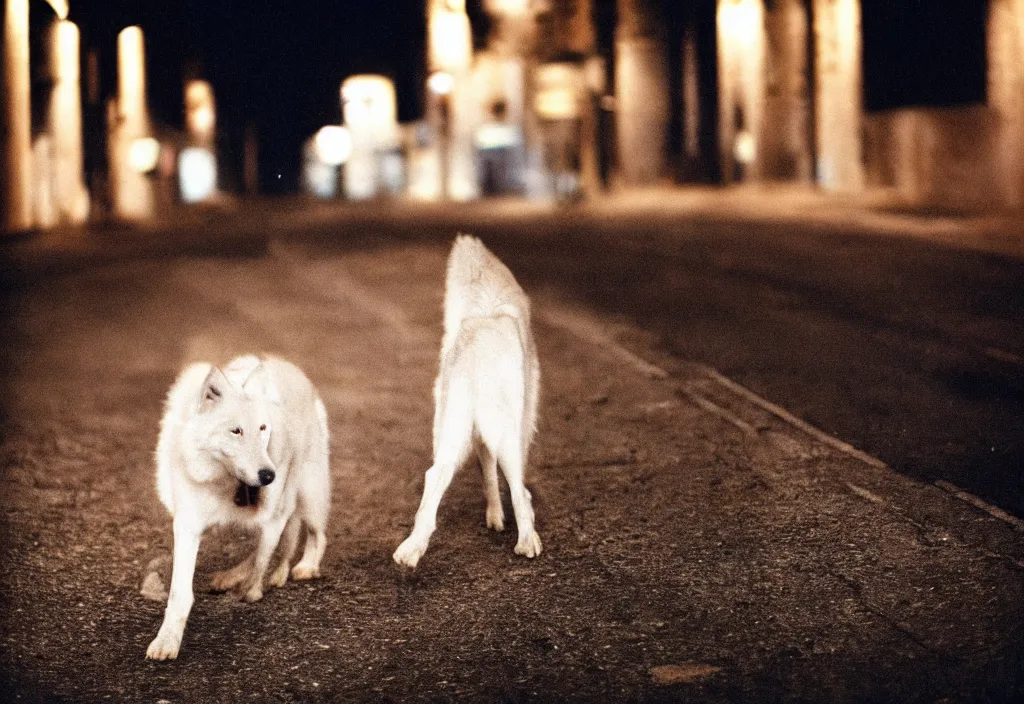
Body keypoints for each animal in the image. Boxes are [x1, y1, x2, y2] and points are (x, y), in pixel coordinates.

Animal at [146, 358, 329, 658]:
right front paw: (167, 642)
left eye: (263, 428)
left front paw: (251, 592)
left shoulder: (274, 515)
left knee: (316, 533)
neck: (224, 480)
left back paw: (304, 567)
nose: (269, 476)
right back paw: (233, 576)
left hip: (309, 491)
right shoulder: (187, 526)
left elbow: (263, 557)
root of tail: (288, 367)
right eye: (236, 431)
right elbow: (180, 592)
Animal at [391, 233, 540, 568]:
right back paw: (528, 541)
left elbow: (486, 472)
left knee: (435, 478)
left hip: (451, 432)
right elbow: (514, 484)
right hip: (502, 431)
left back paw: (412, 549)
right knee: (515, 485)